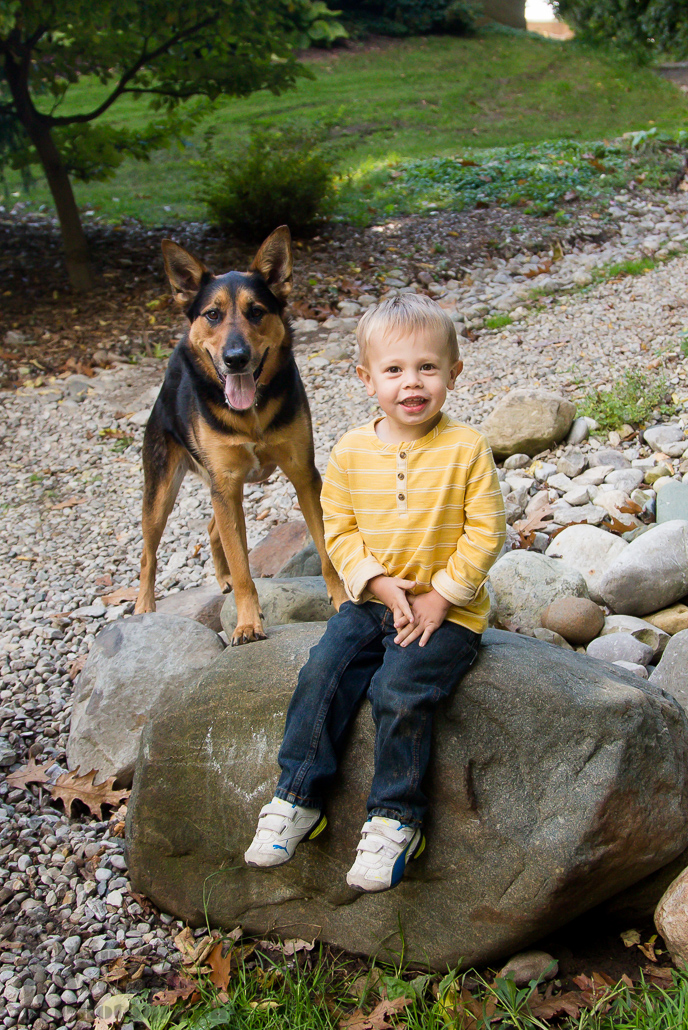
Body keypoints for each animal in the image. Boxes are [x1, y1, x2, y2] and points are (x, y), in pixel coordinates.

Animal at [134, 225, 346, 644]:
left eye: (257, 312)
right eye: (213, 314)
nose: (235, 359)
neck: (251, 414)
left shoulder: (303, 475)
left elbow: (327, 552)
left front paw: (344, 600)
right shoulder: (227, 482)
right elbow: (244, 566)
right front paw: (248, 623)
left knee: (212, 527)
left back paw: (223, 578)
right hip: (163, 492)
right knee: (149, 553)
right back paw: (144, 609)